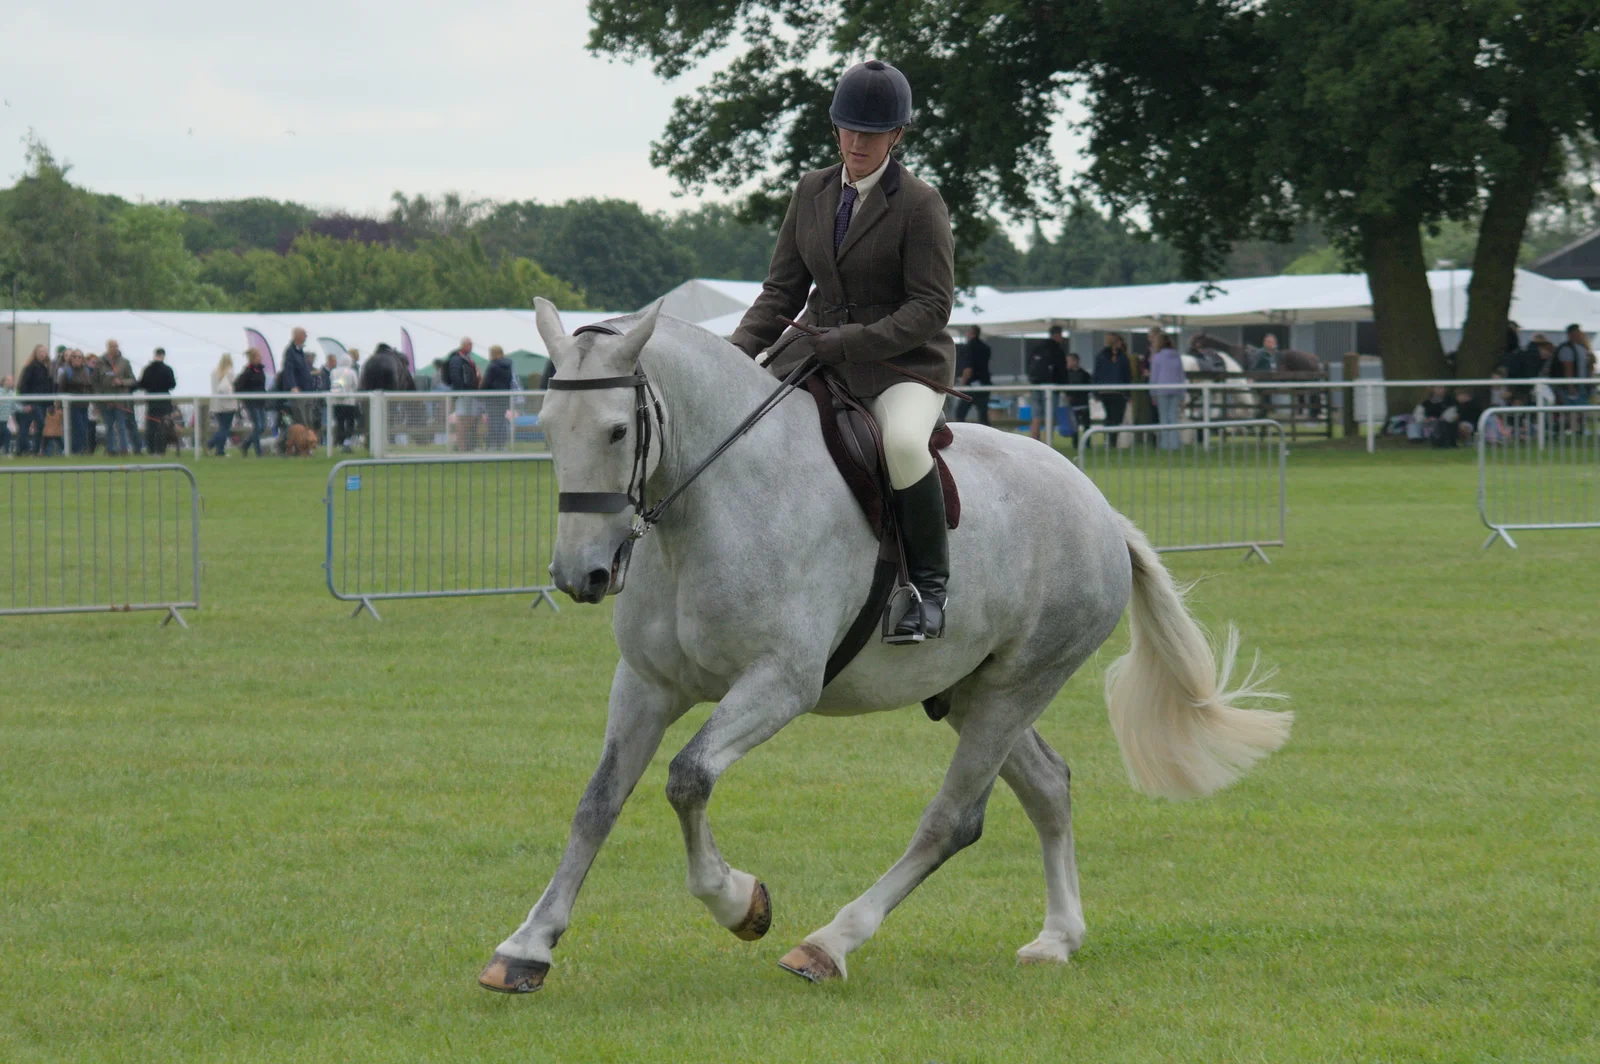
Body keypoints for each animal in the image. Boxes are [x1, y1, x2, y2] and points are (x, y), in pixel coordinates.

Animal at [473, 296, 1286, 985]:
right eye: (547, 427)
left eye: (616, 430)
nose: (580, 574)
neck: (713, 504)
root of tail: (1099, 509)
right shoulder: (646, 683)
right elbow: (599, 801)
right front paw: (527, 947)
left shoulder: (780, 683)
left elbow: (688, 778)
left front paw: (741, 902)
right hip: (972, 691)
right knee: (1048, 787)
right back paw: (1058, 938)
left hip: (1019, 686)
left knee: (953, 819)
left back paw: (830, 943)